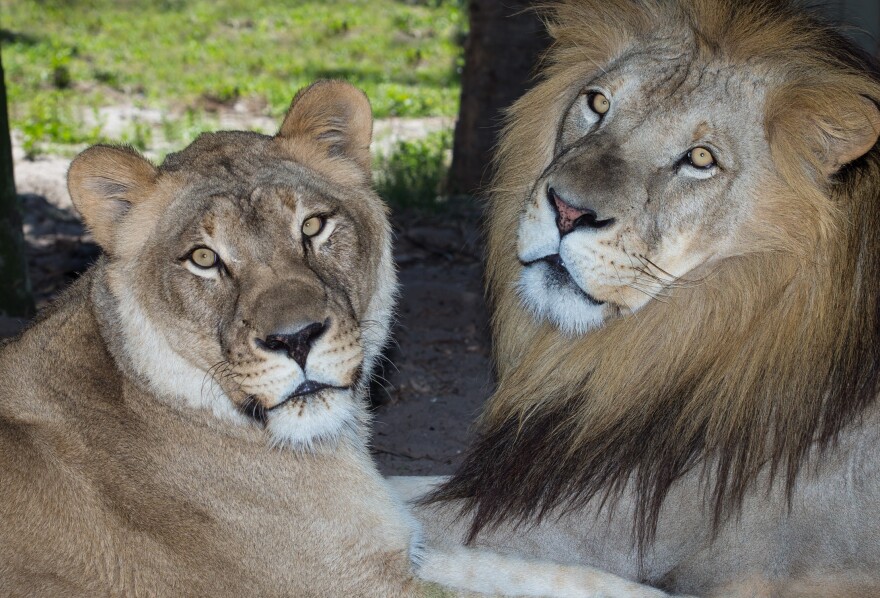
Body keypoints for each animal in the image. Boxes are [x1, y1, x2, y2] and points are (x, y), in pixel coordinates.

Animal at [0, 79, 666, 597]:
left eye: (314, 226)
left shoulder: (393, 549)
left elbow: (537, 572)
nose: (296, 340)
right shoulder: (348, 581)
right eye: (203, 259)